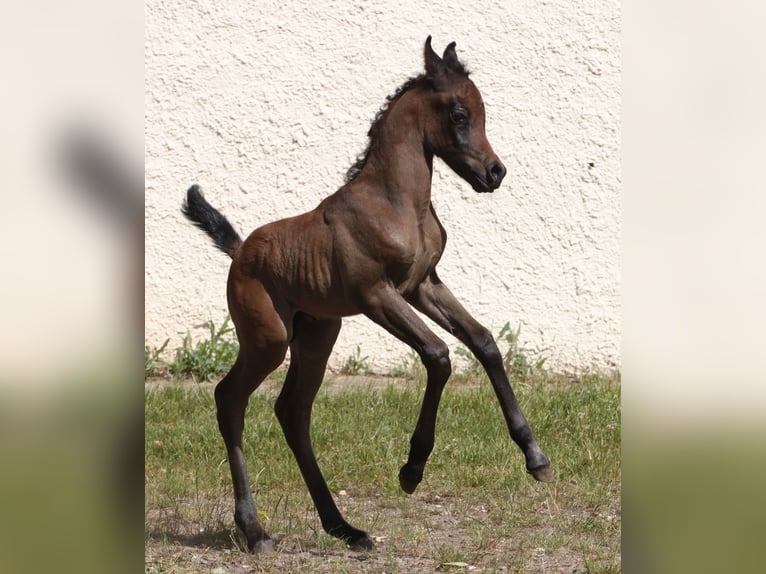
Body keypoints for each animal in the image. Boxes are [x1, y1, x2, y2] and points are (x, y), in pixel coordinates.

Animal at [183, 36, 556, 552]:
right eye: (460, 114)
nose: (495, 173)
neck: (398, 202)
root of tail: (239, 252)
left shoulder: (423, 285)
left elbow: (483, 342)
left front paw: (535, 456)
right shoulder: (377, 295)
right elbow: (439, 355)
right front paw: (412, 469)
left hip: (318, 334)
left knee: (292, 411)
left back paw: (344, 527)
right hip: (268, 338)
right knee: (229, 400)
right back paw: (255, 530)